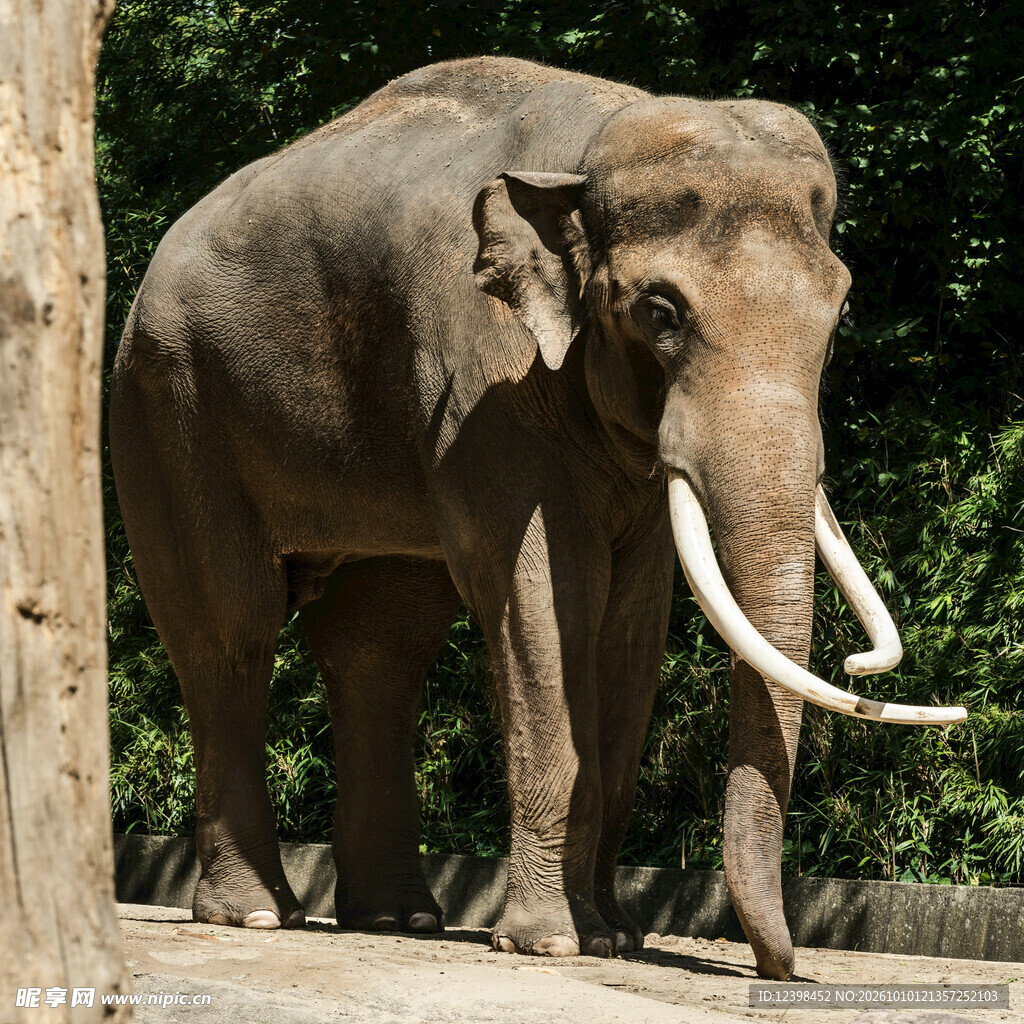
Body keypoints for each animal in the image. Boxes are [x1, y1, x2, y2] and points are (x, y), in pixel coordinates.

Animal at [109, 56, 965, 980]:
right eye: (659, 313)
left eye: (839, 314)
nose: (782, 969)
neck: (590, 149)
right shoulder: (486, 375)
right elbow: (551, 599)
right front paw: (553, 942)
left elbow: (631, 620)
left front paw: (615, 938)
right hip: (170, 405)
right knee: (231, 628)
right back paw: (259, 916)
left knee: (379, 642)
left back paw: (402, 920)